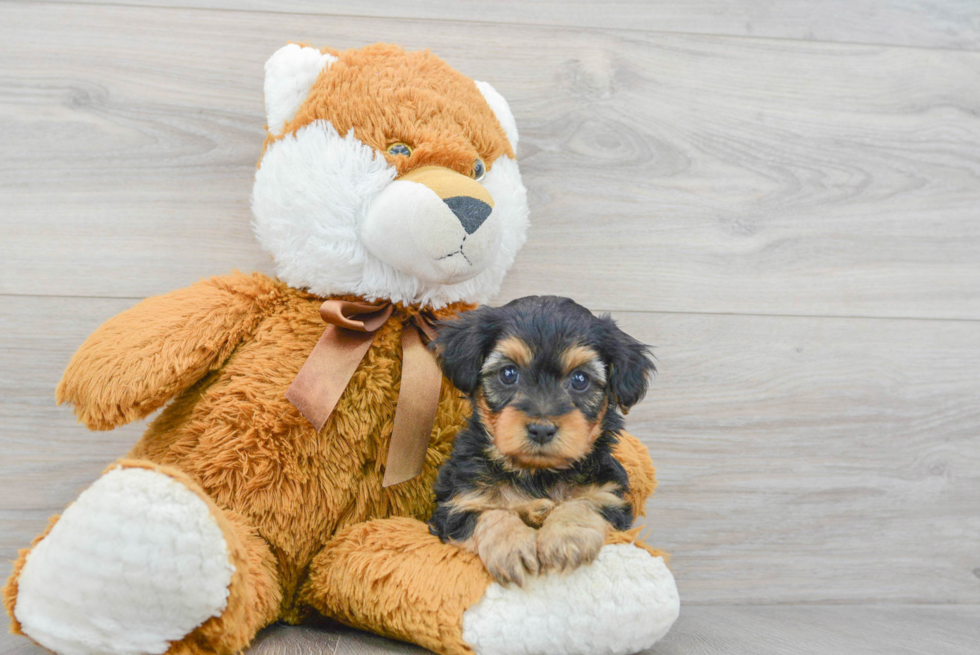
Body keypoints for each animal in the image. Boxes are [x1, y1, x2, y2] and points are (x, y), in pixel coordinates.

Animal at [430, 294, 656, 588]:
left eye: (580, 379)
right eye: (508, 374)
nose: (541, 429)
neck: (537, 473)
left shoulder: (608, 496)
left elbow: (582, 504)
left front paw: (566, 539)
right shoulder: (457, 503)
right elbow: (489, 513)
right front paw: (512, 547)